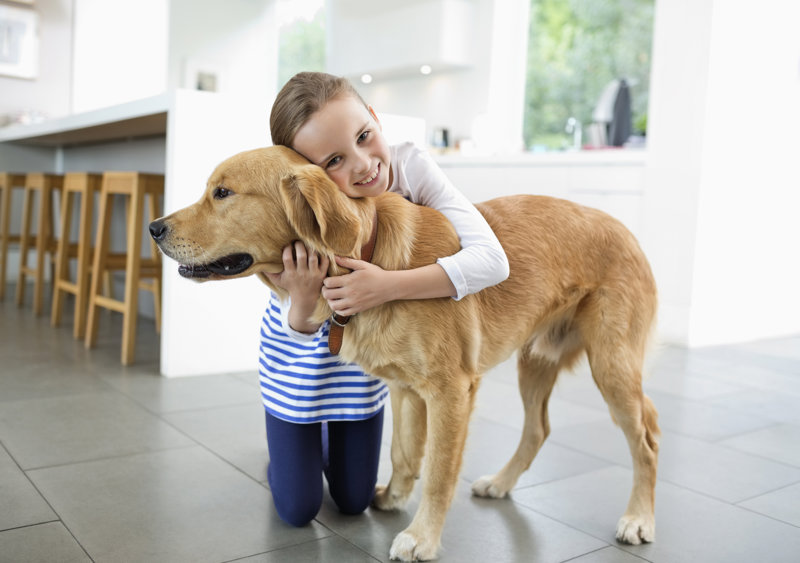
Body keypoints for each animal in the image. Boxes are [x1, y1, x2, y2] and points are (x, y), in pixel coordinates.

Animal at [148, 148, 656, 560]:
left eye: (223, 193)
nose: (154, 228)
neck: (367, 257)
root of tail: (624, 228)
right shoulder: (406, 388)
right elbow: (404, 453)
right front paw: (393, 498)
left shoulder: (451, 391)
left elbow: (438, 472)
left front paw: (421, 538)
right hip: (535, 362)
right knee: (538, 429)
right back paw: (501, 483)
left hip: (611, 366)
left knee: (647, 438)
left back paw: (639, 518)